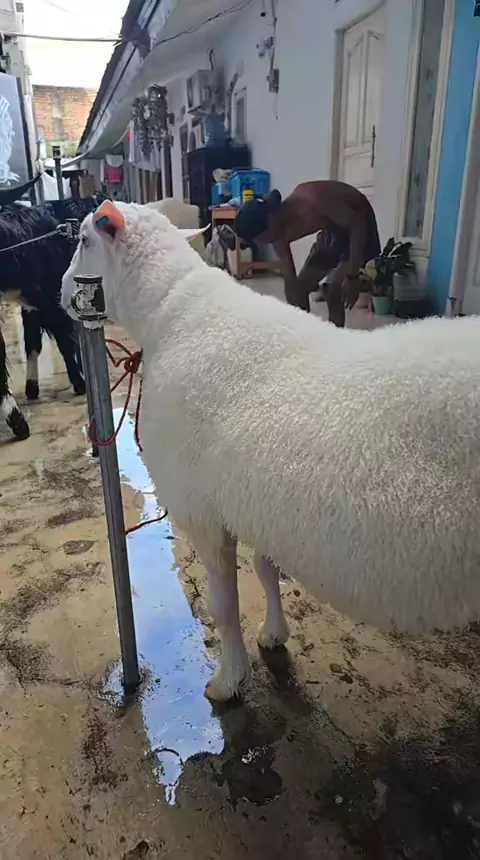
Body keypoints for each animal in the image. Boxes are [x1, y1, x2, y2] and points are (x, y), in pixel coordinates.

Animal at [61, 199, 480, 702]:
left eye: (84, 240)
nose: (63, 293)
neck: (173, 312)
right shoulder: (258, 505)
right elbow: (265, 570)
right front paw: (274, 634)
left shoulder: (203, 513)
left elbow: (224, 607)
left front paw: (228, 680)